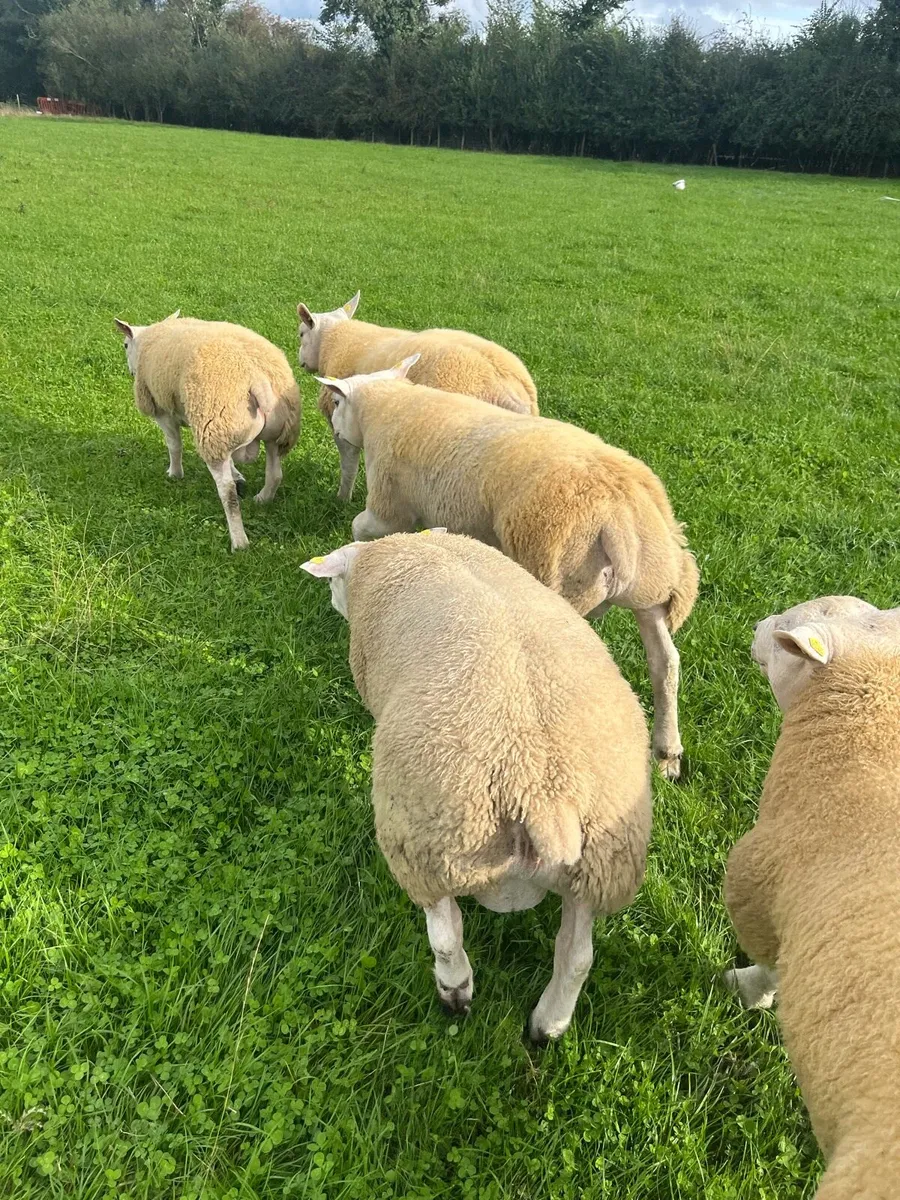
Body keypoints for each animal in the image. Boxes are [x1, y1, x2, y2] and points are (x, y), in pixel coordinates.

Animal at [114, 313, 301, 551]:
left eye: (124, 345)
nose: (130, 371)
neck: (148, 339)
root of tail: (259, 380)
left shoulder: (163, 411)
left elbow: (174, 446)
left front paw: (174, 474)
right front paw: (238, 474)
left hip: (214, 426)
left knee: (227, 491)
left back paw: (239, 542)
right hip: (268, 433)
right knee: (275, 474)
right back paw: (262, 499)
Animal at [295, 291, 539, 501]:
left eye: (301, 334)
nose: (301, 361)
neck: (337, 340)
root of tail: (508, 384)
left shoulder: (343, 422)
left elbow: (348, 466)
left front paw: (342, 499)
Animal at [301, 529, 652, 1039]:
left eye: (334, 581)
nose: (330, 601)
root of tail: (542, 796)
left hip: (427, 843)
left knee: (446, 936)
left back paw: (455, 993)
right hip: (601, 865)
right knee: (577, 957)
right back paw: (547, 1026)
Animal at [317, 360, 699, 780]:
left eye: (337, 402)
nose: (336, 431)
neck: (388, 408)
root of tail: (622, 518)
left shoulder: (388, 507)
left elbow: (361, 529)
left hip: (559, 580)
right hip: (651, 590)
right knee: (665, 664)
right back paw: (667, 753)